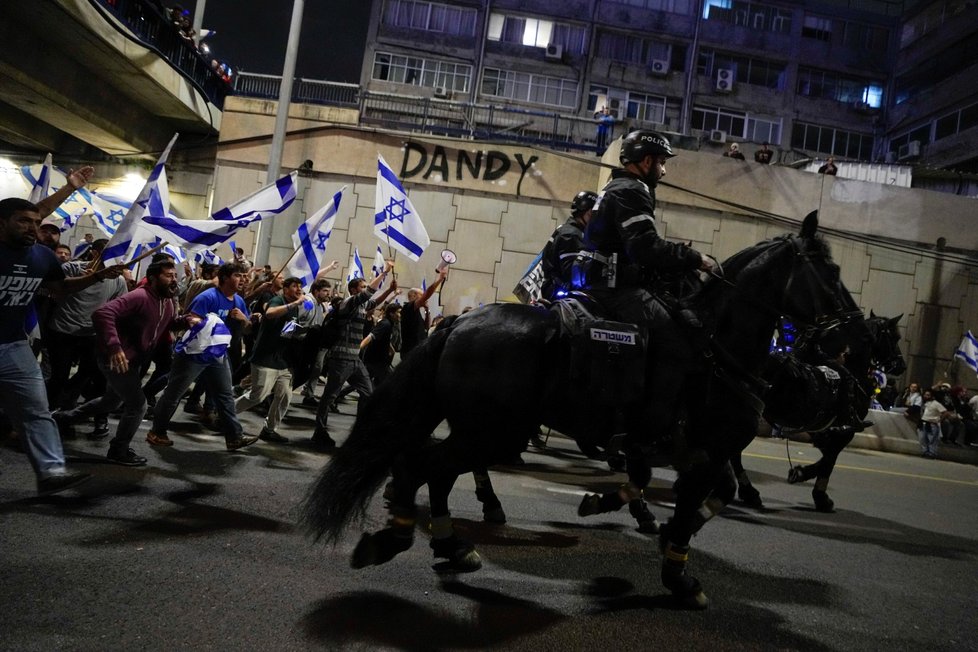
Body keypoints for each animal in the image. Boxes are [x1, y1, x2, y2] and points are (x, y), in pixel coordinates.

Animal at [302, 211, 852, 608]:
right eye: (829, 272)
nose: (845, 335)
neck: (718, 344)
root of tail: (459, 323)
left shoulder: (693, 453)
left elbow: (694, 497)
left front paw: (635, 521)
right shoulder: (707, 450)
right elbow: (693, 505)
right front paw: (678, 574)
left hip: (484, 429)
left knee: (434, 469)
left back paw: (449, 542)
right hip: (494, 431)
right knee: (426, 465)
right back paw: (400, 536)